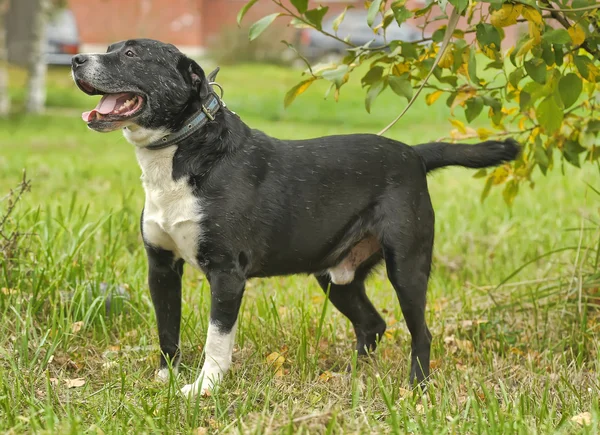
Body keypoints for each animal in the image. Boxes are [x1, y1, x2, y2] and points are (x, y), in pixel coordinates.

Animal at [71, 40, 520, 398]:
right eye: (109, 48)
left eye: (131, 54)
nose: (76, 59)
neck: (188, 150)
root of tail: (414, 154)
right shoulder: (161, 267)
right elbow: (167, 329)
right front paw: (164, 381)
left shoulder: (227, 274)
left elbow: (216, 341)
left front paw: (202, 389)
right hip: (336, 277)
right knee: (372, 324)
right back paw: (352, 377)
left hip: (407, 266)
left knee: (419, 331)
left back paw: (417, 388)